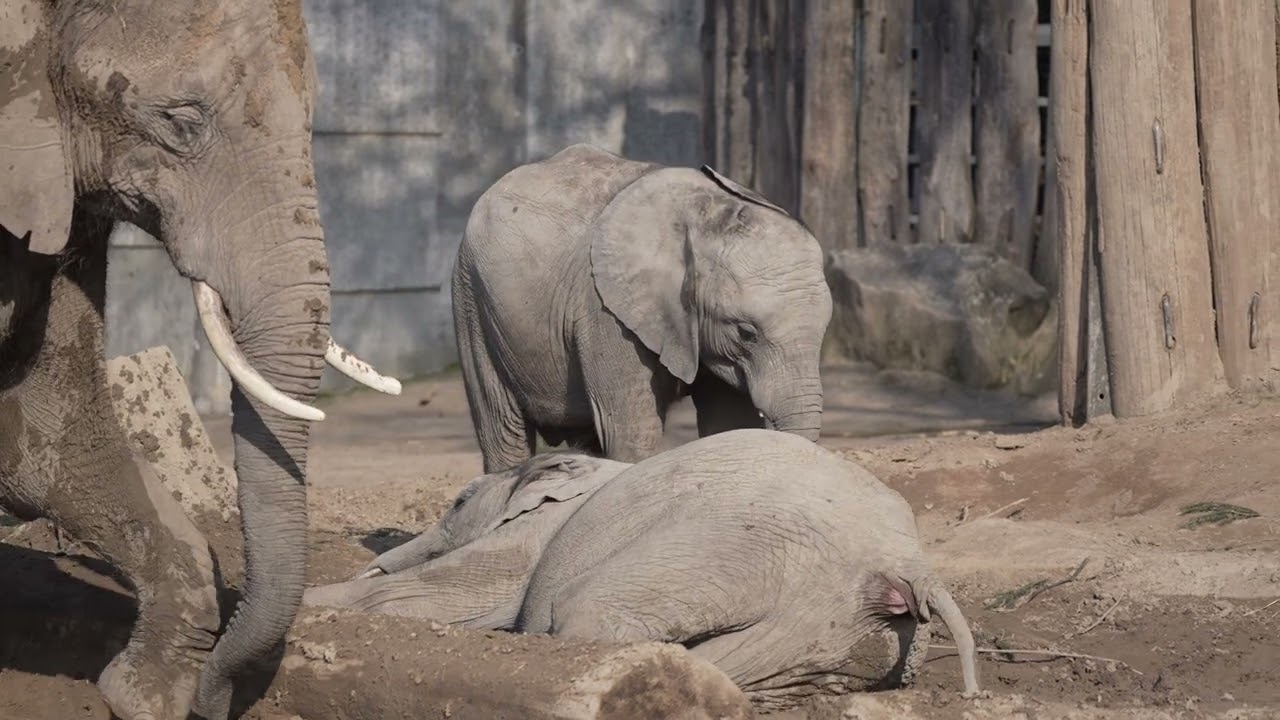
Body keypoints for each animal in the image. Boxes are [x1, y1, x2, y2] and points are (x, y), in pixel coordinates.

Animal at [304, 429, 981, 708]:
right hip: (831, 625)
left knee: (589, 615)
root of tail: (906, 563)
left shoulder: (535, 537)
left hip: (729, 546)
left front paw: (314, 604)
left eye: (458, 502)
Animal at [452, 143, 833, 473]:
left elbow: (729, 424)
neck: (705, 212)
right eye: (746, 332)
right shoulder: (605, 309)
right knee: (504, 428)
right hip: (471, 297)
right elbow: (633, 434)